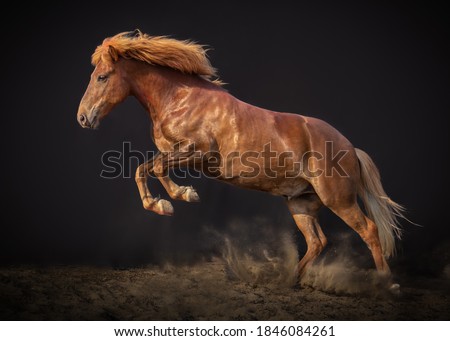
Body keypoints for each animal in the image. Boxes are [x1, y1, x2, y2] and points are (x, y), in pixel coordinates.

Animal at [76, 29, 404, 290]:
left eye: (102, 77)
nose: (82, 118)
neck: (180, 99)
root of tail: (351, 147)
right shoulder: (177, 153)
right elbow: (142, 169)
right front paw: (160, 204)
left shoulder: (197, 151)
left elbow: (153, 167)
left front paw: (181, 196)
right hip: (300, 203)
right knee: (317, 242)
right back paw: (289, 282)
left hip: (338, 199)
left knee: (369, 230)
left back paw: (387, 284)